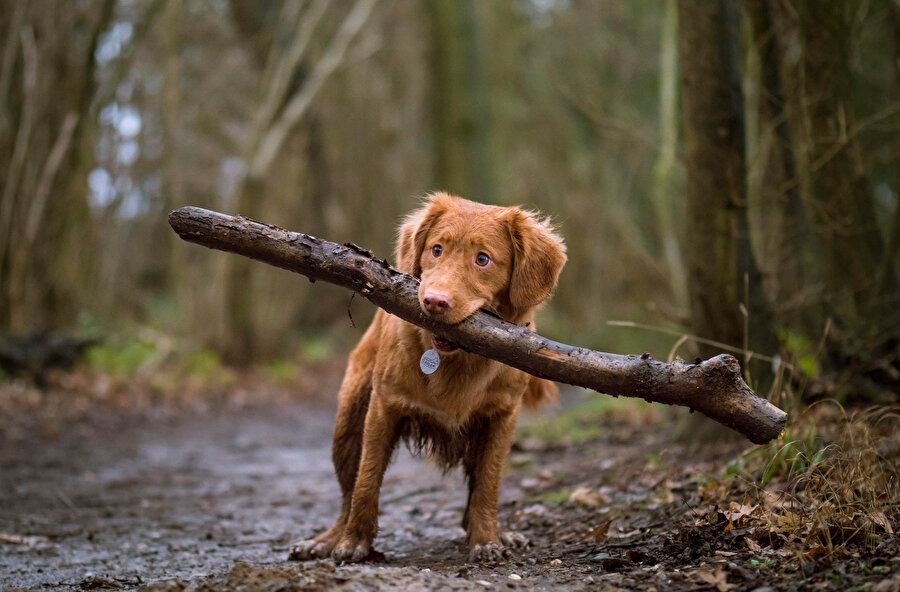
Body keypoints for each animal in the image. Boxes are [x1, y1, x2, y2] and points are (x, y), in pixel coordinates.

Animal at [292, 193, 568, 564]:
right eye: (436, 249)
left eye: (483, 259)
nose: (434, 301)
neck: (457, 361)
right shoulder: (383, 406)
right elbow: (367, 480)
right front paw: (354, 542)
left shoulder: (502, 417)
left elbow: (488, 484)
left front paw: (486, 539)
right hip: (348, 421)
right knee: (348, 491)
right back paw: (327, 539)